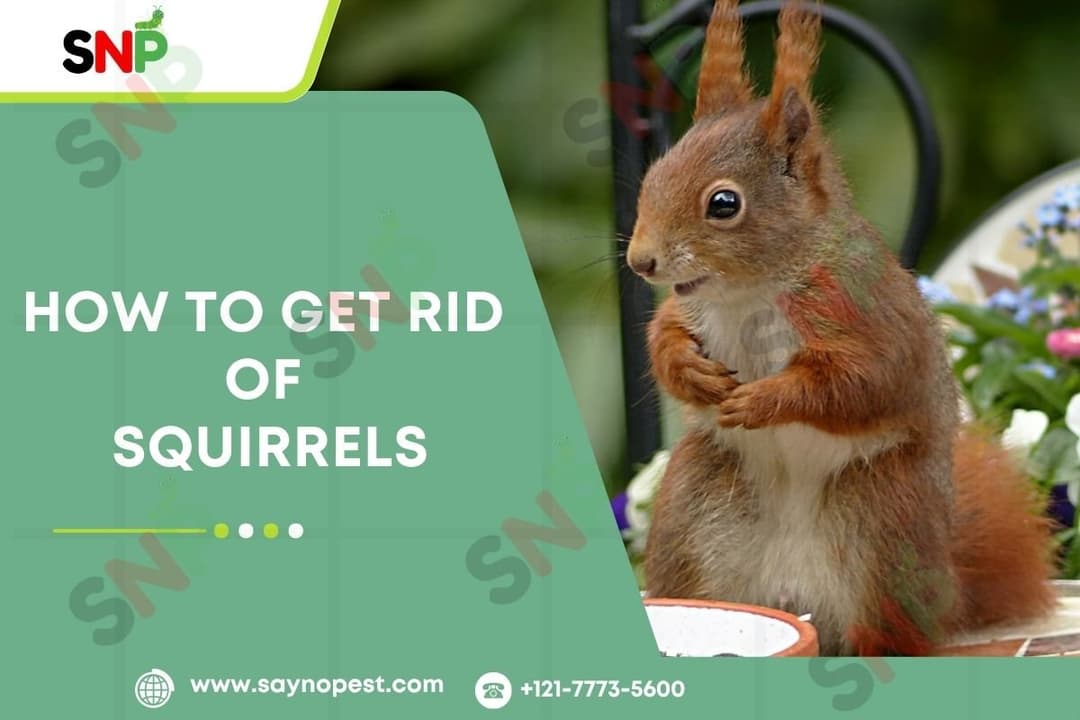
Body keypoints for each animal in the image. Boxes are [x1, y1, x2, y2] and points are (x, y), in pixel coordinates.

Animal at [626, 0, 1058, 656]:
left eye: (724, 204)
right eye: (653, 175)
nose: (640, 262)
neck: (751, 290)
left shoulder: (867, 315)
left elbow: (860, 383)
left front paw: (764, 400)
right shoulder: (687, 308)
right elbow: (663, 339)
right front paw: (691, 370)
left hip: (884, 528)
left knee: (889, 631)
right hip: (692, 518)